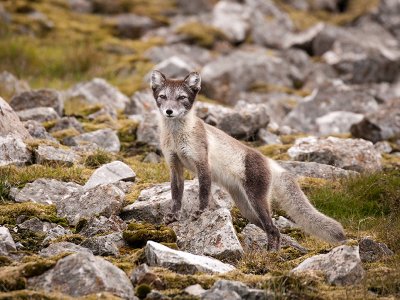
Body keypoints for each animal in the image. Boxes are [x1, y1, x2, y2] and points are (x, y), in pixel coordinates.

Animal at [150, 70, 344, 251]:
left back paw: (270, 254)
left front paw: (200, 212)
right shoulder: (175, 165)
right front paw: (173, 216)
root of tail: (268, 161)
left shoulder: (202, 163)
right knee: (272, 229)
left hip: (257, 201)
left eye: (181, 97)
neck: (176, 137)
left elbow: (203, 192)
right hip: (247, 209)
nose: (169, 111)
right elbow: (176, 195)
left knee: (273, 229)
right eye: (163, 97)